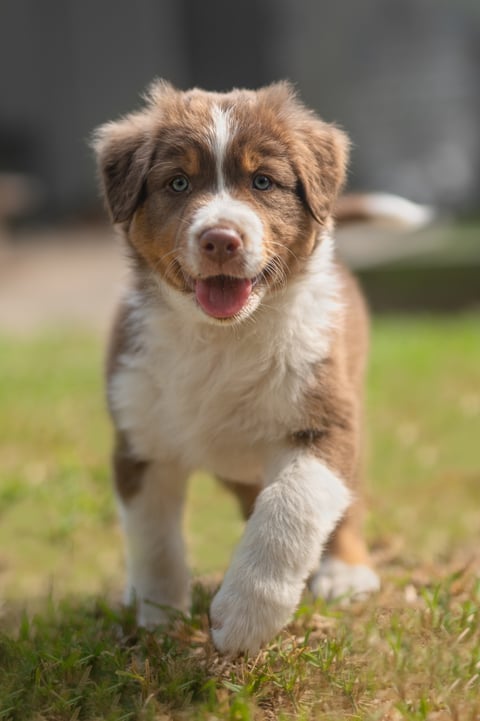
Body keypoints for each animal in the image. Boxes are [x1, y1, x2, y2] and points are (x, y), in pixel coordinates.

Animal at [94, 81, 380, 656]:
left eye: (263, 181)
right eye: (178, 182)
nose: (221, 239)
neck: (220, 341)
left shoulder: (325, 418)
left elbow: (290, 509)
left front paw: (244, 617)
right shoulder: (140, 437)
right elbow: (153, 538)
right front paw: (158, 615)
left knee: (346, 500)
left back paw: (345, 571)